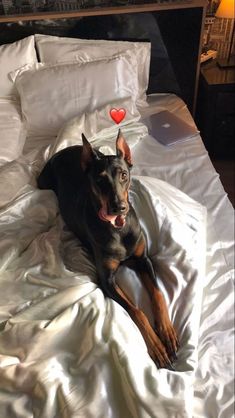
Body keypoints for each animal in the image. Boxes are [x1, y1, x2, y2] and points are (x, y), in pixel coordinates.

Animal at [37, 129, 179, 368]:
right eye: (100, 180)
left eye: (123, 175)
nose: (118, 207)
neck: (118, 229)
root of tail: (61, 150)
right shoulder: (107, 280)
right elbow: (136, 310)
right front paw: (157, 346)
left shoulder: (143, 259)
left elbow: (158, 294)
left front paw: (166, 332)